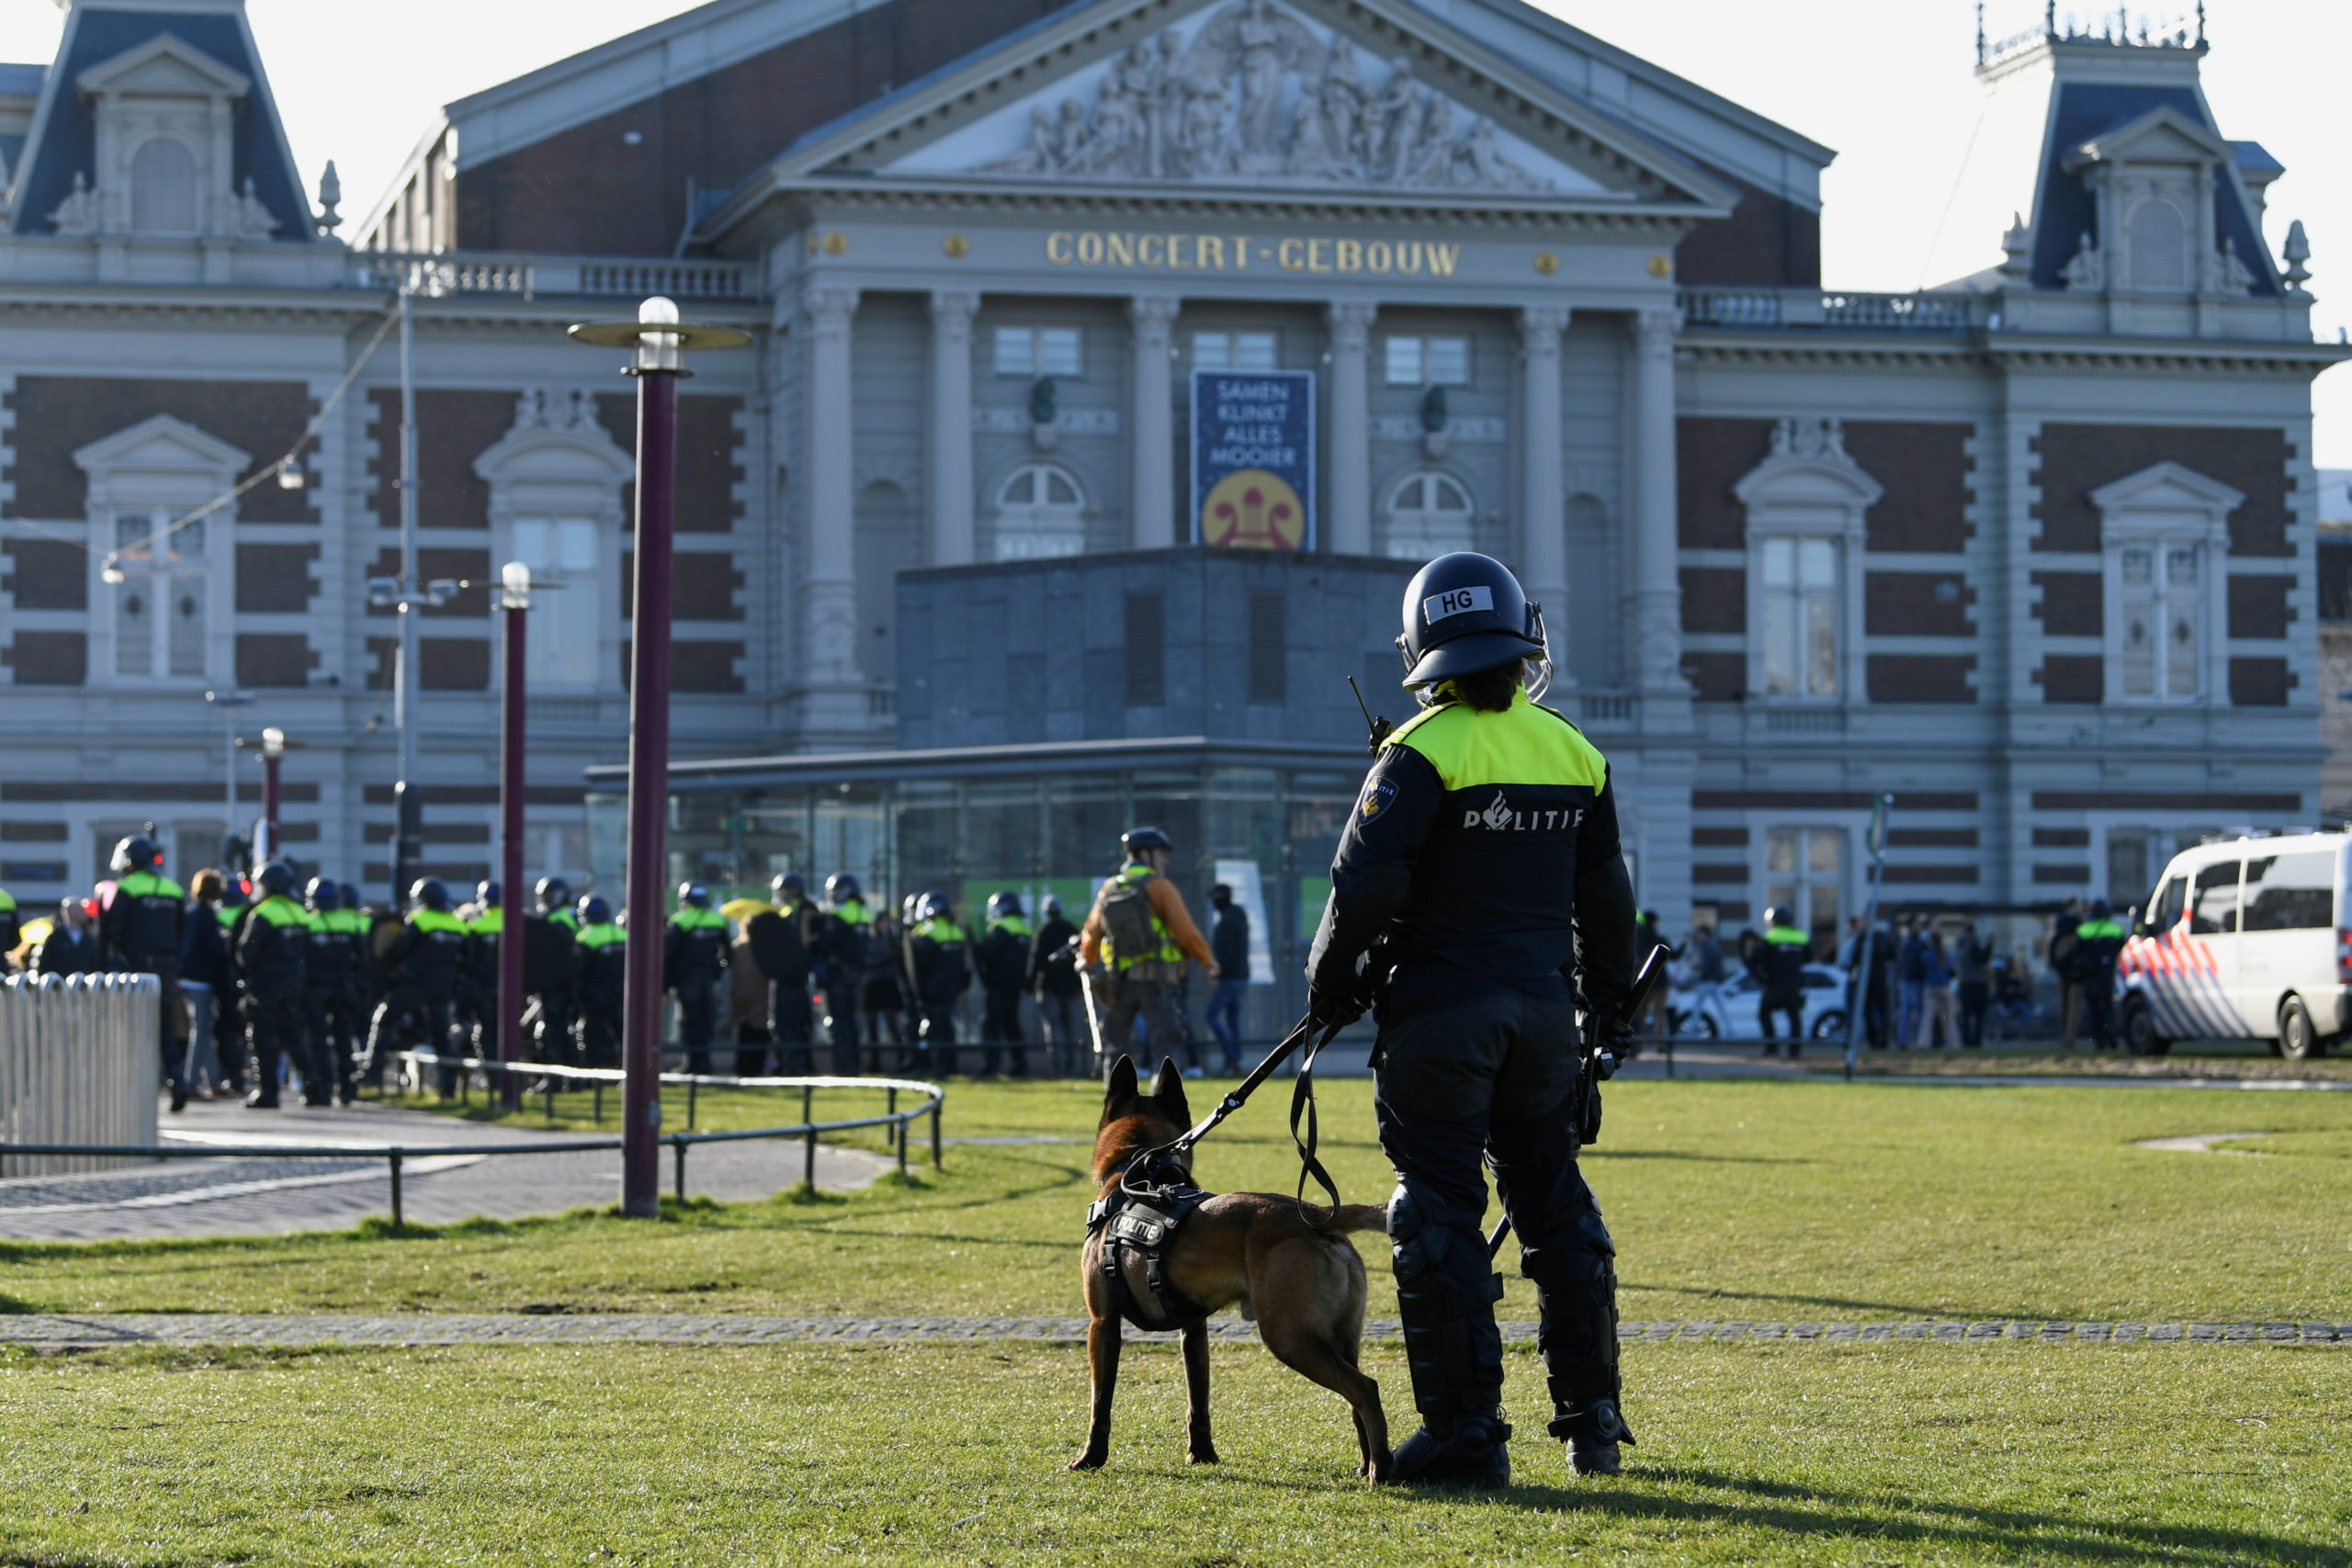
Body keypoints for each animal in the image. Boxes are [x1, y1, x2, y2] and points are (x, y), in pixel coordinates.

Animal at [1072, 1053, 1392, 1485]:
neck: (1138, 1172)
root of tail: (1317, 1215)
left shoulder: (1102, 1323)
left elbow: (1100, 1402)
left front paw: (1091, 1457)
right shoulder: (1194, 1329)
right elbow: (1198, 1398)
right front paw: (1202, 1454)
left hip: (1290, 1337)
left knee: (1365, 1389)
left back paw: (1381, 1469)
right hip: (1340, 1337)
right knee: (1355, 1393)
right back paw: (1366, 1463)